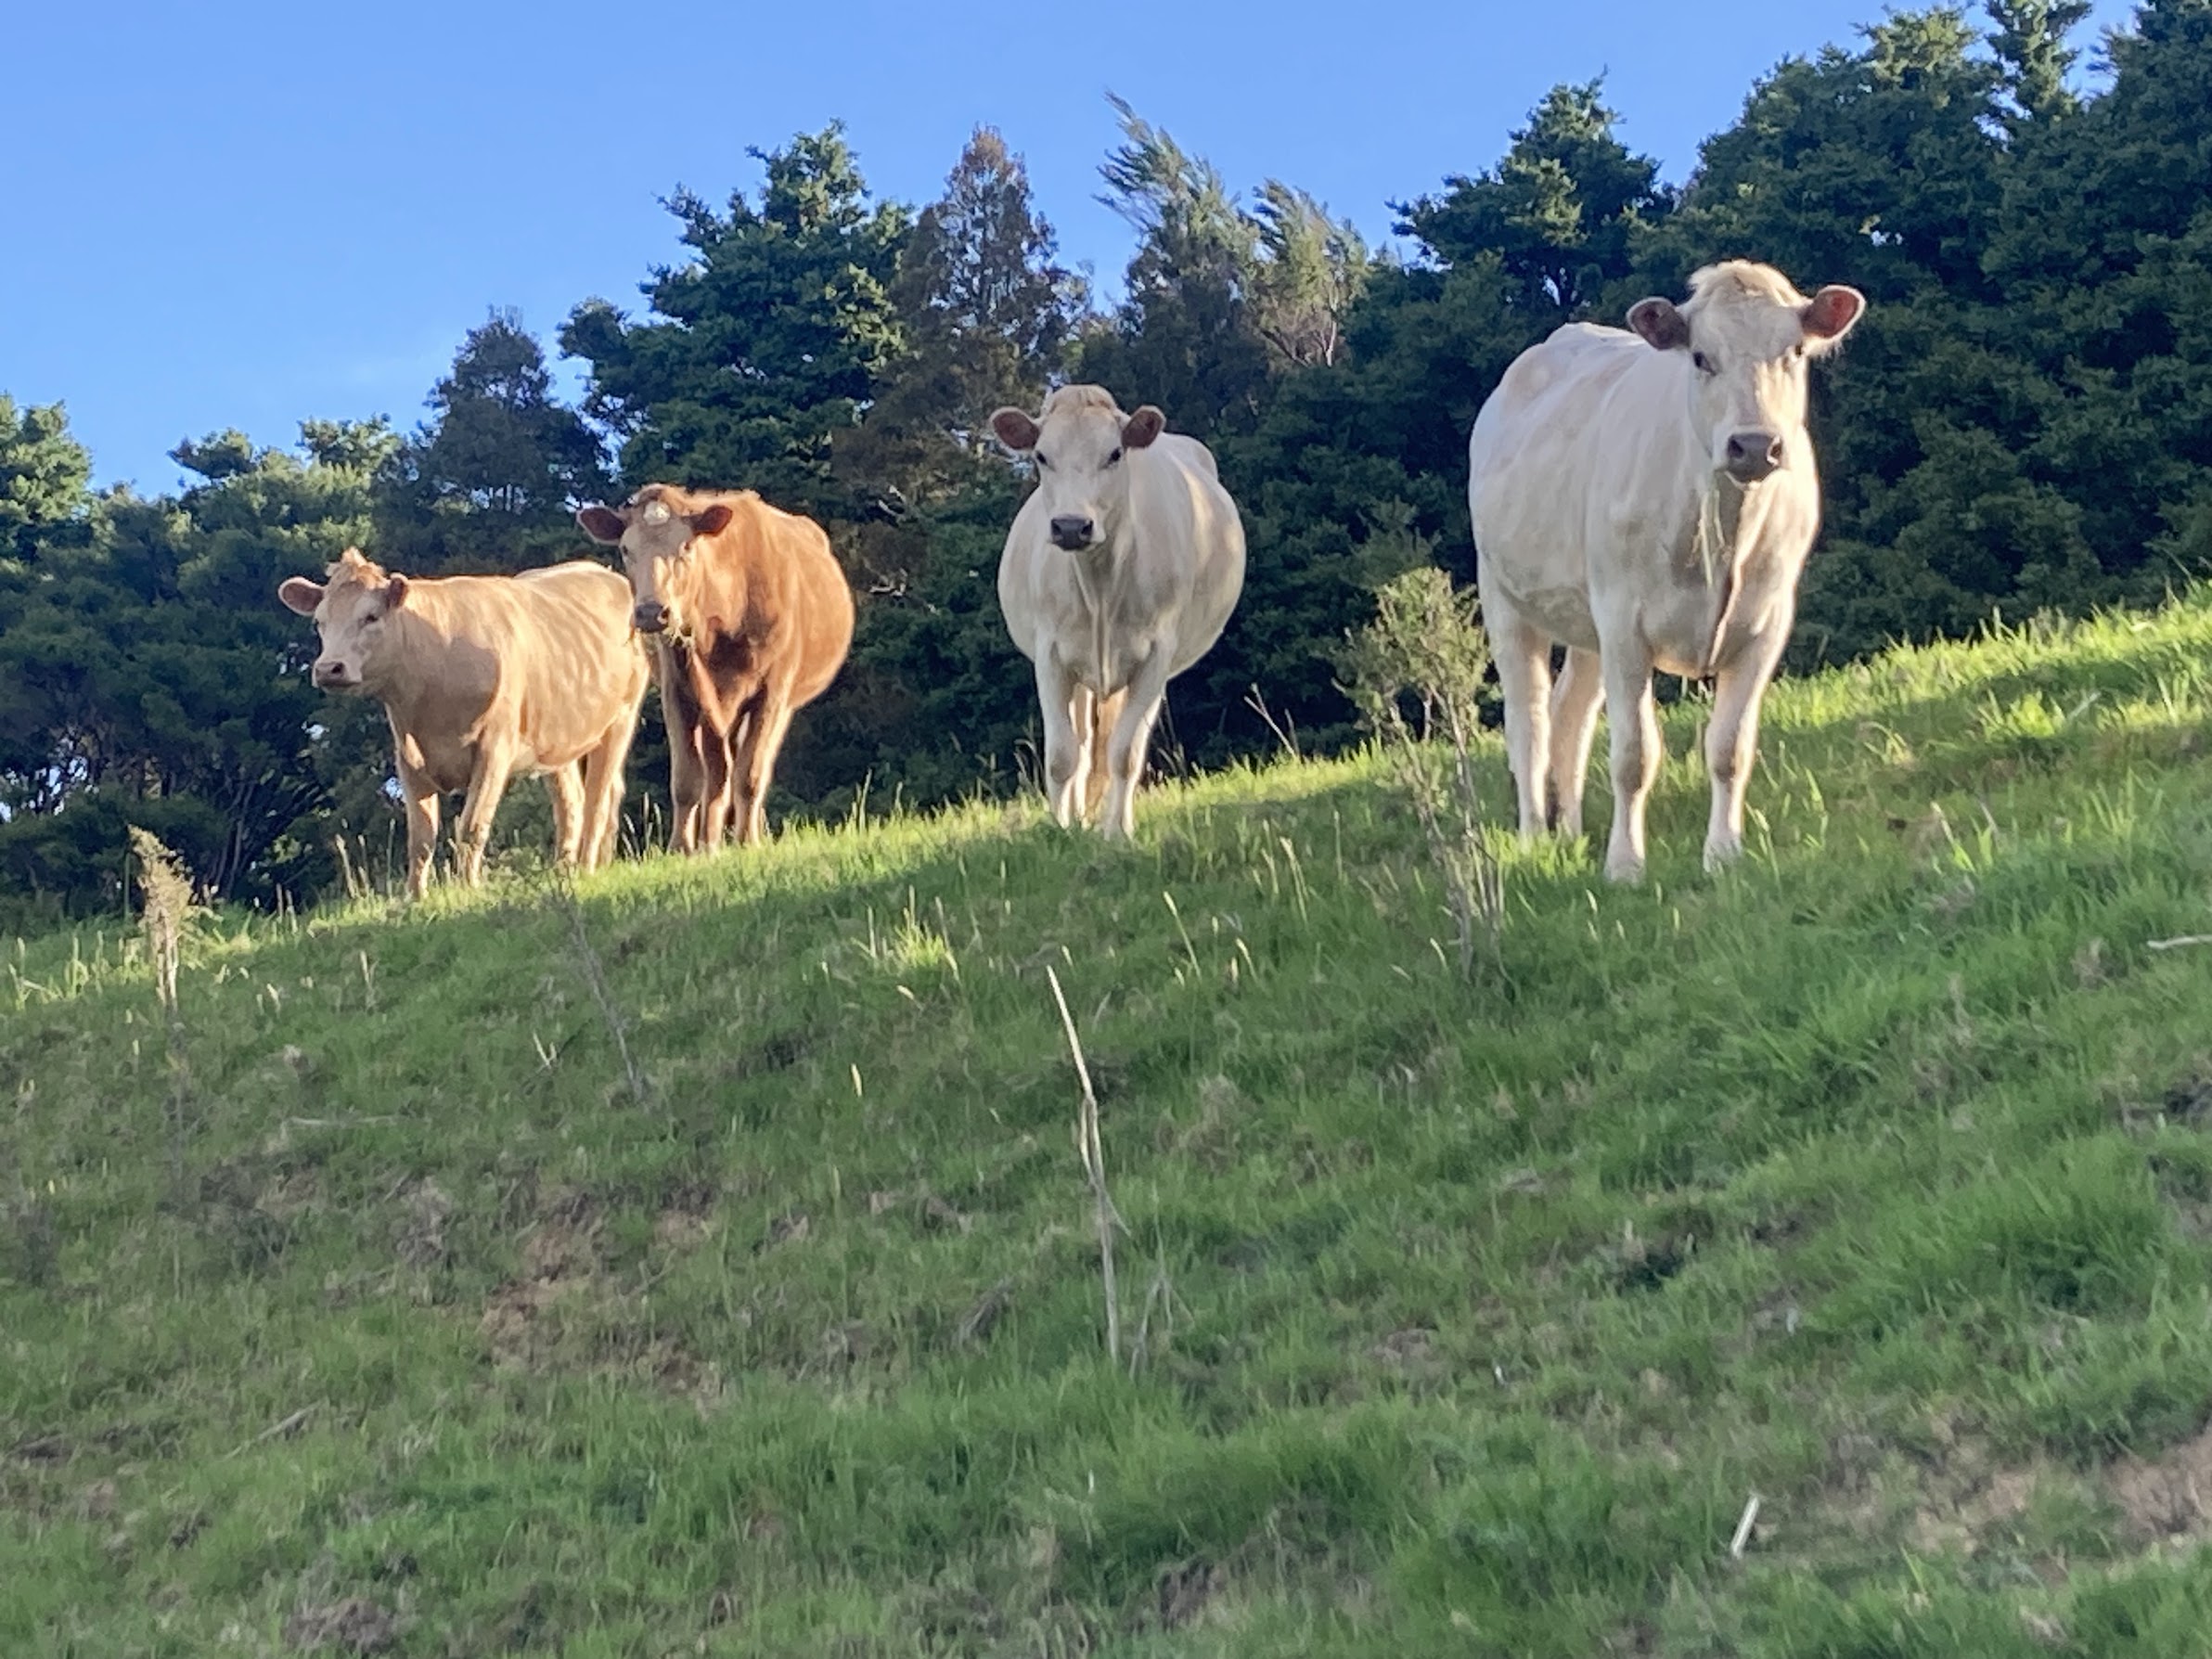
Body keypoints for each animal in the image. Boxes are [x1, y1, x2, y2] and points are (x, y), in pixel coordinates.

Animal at [278, 548, 649, 899]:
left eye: (371, 616)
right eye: (320, 622)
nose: (328, 668)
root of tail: (604, 573)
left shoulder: (494, 749)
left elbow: (471, 827)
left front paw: (467, 889)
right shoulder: (408, 757)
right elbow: (421, 838)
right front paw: (415, 899)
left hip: (621, 719)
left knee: (598, 800)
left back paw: (586, 867)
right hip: (558, 737)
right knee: (571, 802)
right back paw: (564, 871)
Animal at [576, 486, 855, 853]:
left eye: (687, 546)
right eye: (625, 549)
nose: (651, 611)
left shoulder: (772, 693)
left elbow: (750, 775)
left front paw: (748, 842)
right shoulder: (679, 690)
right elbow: (687, 779)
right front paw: (681, 848)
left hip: (781, 704)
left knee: (750, 768)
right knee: (718, 774)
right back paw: (709, 844)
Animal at [990, 385, 1247, 840]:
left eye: (1114, 453)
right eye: (1041, 456)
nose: (1071, 526)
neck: (1100, 587)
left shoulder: (1156, 655)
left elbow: (1125, 752)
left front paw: (1117, 834)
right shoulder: (1050, 654)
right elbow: (1062, 754)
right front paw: (1060, 828)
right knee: (1083, 740)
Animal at [1467, 259, 1866, 883]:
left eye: (1795, 351)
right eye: (1700, 357)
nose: (1755, 445)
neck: (1723, 533)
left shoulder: (1767, 625)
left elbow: (1730, 748)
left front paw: (1723, 854)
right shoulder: (1624, 622)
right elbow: (1634, 755)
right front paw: (1626, 865)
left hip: (1586, 624)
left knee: (1569, 717)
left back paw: (1571, 835)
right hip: (1505, 598)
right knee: (1528, 720)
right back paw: (1535, 839)